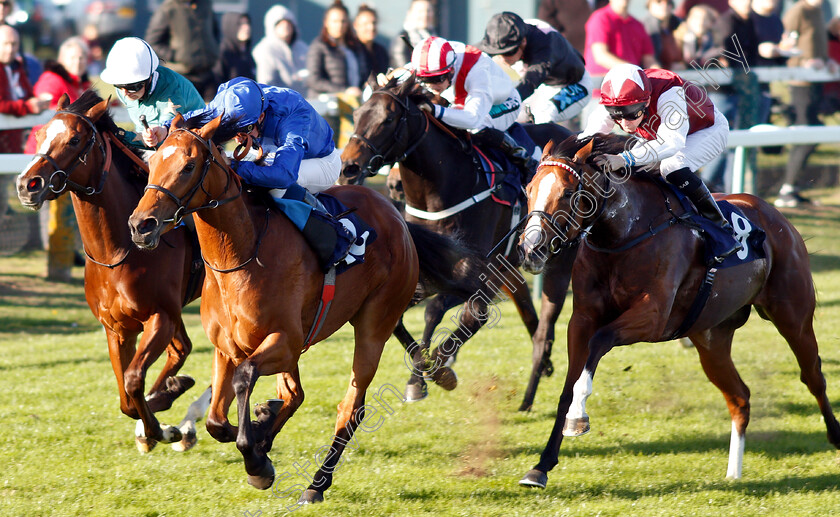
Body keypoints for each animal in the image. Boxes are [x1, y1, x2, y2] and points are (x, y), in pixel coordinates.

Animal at [16, 89, 208, 452]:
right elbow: (126, 398)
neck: (117, 252)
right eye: (40, 133)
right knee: (182, 348)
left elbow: (133, 382)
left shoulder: (160, 316)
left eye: (74, 139)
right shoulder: (117, 327)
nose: (27, 184)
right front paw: (158, 419)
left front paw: (163, 429)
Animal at [126, 112, 452, 500]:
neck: (238, 258)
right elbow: (216, 421)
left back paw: (316, 484)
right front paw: (259, 434)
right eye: (152, 163)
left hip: (373, 325)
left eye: (189, 165)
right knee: (294, 393)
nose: (141, 225)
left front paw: (256, 459)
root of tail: (395, 215)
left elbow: (244, 379)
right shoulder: (227, 348)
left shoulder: (283, 340)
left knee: (351, 407)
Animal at [340, 75, 576, 412]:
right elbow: (402, 318)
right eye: (358, 114)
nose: (349, 168)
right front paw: (425, 372)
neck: (443, 191)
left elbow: (441, 311)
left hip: (556, 263)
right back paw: (541, 368)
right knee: (529, 315)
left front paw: (427, 375)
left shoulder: (475, 275)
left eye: (387, 119)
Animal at [520, 133, 840, 488]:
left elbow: (599, 342)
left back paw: (835, 437)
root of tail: (777, 217)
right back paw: (733, 473)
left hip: (793, 317)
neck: (625, 234)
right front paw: (541, 466)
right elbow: (567, 386)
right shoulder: (581, 320)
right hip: (711, 338)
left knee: (813, 376)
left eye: (567, 192)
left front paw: (578, 417)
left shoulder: (654, 317)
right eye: (529, 189)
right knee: (740, 396)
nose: (530, 249)